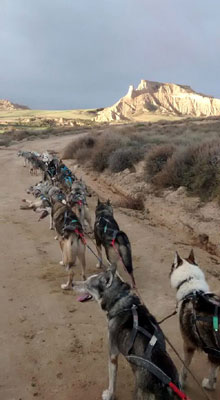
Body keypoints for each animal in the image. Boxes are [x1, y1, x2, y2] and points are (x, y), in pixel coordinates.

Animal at [73, 268, 180, 400]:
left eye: (87, 284)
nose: (72, 284)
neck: (120, 300)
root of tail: (165, 387)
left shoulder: (113, 354)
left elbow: (112, 380)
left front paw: (109, 395)